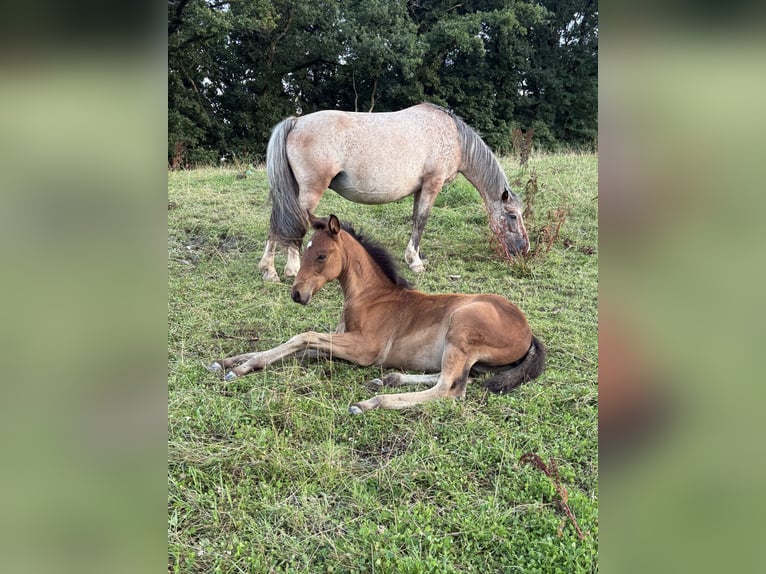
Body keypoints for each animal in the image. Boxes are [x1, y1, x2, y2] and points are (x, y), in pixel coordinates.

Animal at [212, 213, 545, 414]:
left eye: (321, 255)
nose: (297, 294)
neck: (370, 297)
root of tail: (529, 333)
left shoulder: (364, 349)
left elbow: (303, 337)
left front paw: (242, 367)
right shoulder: (340, 342)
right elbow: (300, 349)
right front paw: (231, 362)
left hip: (461, 326)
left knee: (449, 389)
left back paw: (370, 401)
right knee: (456, 378)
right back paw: (387, 380)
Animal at [257, 103, 530, 282]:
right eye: (513, 216)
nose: (524, 249)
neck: (454, 136)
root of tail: (297, 122)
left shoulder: (421, 188)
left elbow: (416, 220)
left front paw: (415, 257)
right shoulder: (432, 184)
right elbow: (422, 220)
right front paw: (415, 263)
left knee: (279, 222)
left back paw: (271, 269)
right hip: (310, 191)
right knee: (293, 223)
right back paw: (285, 269)